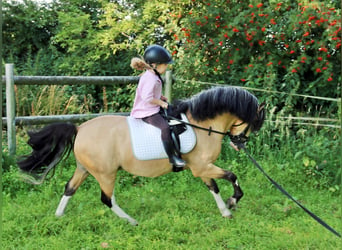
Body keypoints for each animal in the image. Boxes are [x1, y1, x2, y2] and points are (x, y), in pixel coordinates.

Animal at [17, 86, 266, 225]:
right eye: (254, 122)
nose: (239, 144)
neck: (201, 125)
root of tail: (79, 129)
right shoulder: (202, 167)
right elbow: (232, 176)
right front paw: (233, 201)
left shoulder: (202, 167)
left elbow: (213, 187)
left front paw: (225, 211)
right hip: (105, 174)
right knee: (106, 199)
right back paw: (131, 221)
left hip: (85, 169)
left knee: (70, 188)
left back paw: (59, 216)